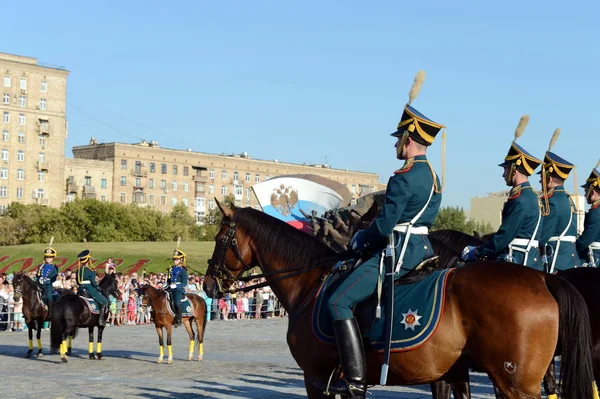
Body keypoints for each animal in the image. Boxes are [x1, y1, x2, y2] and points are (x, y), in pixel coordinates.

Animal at [203, 202, 596, 399]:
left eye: (221, 239)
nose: (207, 284)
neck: (310, 282)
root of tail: (542, 279)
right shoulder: (450, 374)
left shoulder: (315, 378)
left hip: (515, 384)